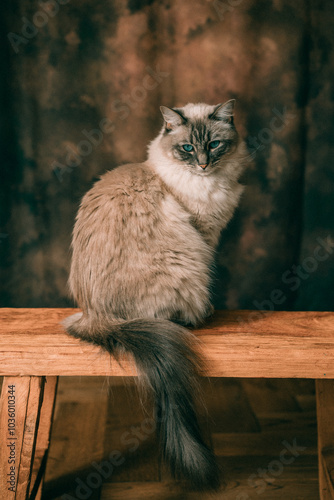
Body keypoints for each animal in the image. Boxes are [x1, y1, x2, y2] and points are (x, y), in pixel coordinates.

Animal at [62, 99, 247, 490]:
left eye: (215, 145)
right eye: (187, 148)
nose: (203, 164)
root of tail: (95, 317)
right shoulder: (204, 236)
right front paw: (209, 311)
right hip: (185, 264)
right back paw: (196, 318)